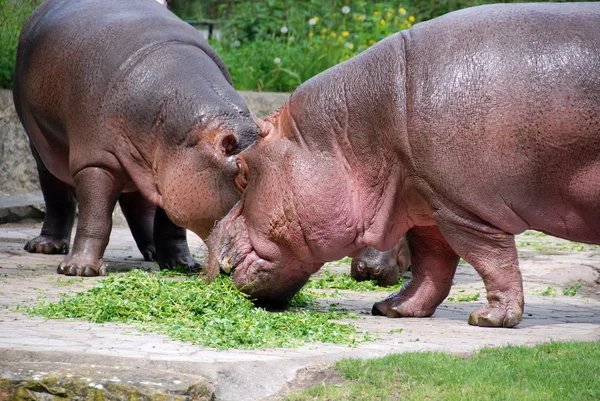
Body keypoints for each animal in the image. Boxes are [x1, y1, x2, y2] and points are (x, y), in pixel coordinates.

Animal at [13, 0, 258, 276]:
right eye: (242, 175)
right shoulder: (98, 161)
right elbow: (95, 215)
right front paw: (80, 270)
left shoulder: (174, 174)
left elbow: (170, 225)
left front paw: (182, 265)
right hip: (42, 146)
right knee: (56, 193)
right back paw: (46, 246)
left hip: (143, 166)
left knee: (139, 206)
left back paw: (153, 254)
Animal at [207, 3, 600, 326]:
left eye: (242, 172)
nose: (210, 247)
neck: (347, 135)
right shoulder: (427, 205)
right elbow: (432, 265)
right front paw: (392, 309)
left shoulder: (464, 209)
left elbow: (489, 258)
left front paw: (489, 319)